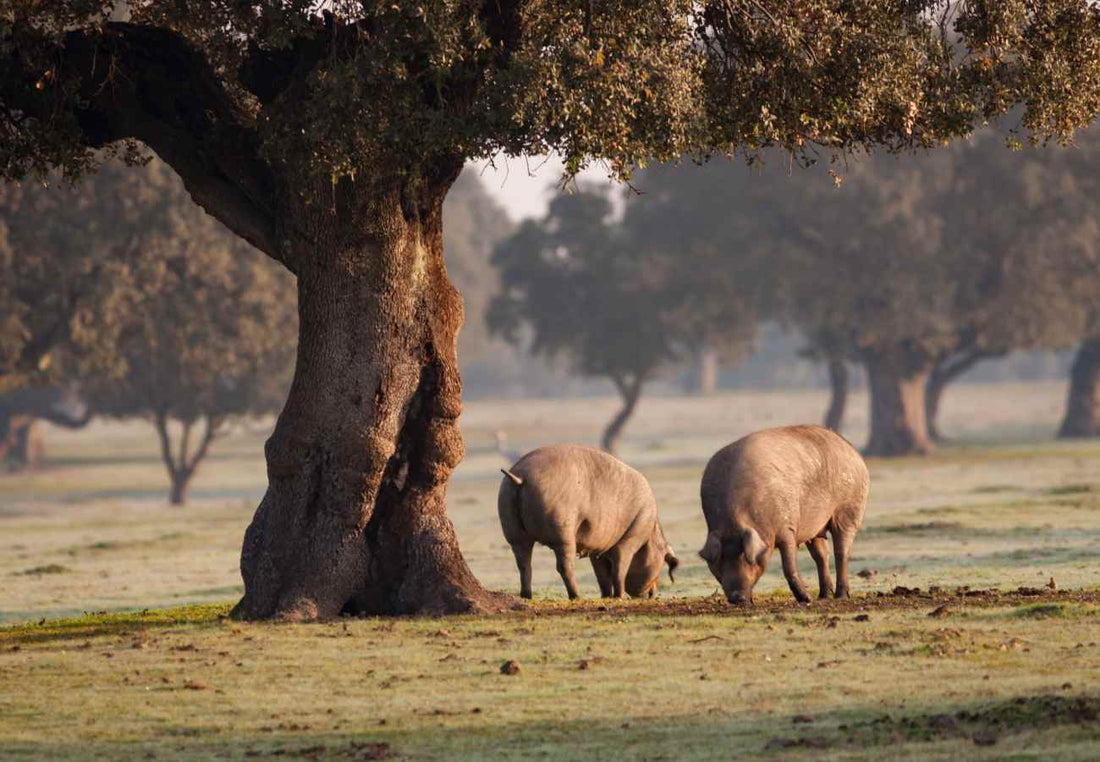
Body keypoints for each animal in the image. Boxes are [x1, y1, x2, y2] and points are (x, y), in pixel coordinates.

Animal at [499, 446, 677, 602]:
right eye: (662, 561)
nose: (653, 593)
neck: (650, 535)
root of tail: (521, 477)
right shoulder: (631, 537)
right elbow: (619, 567)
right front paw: (619, 597)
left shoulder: (597, 549)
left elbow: (601, 574)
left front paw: (606, 597)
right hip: (562, 532)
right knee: (564, 565)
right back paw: (577, 596)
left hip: (513, 531)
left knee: (524, 564)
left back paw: (526, 596)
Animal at [699, 424, 871, 602]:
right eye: (720, 561)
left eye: (746, 557)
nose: (736, 597)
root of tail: (851, 449)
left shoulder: (787, 526)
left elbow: (788, 566)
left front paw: (806, 599)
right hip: (815, 527)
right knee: (821, 555)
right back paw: (823, 597)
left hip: (849, 509)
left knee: (841, 551)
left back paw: (840, 597)